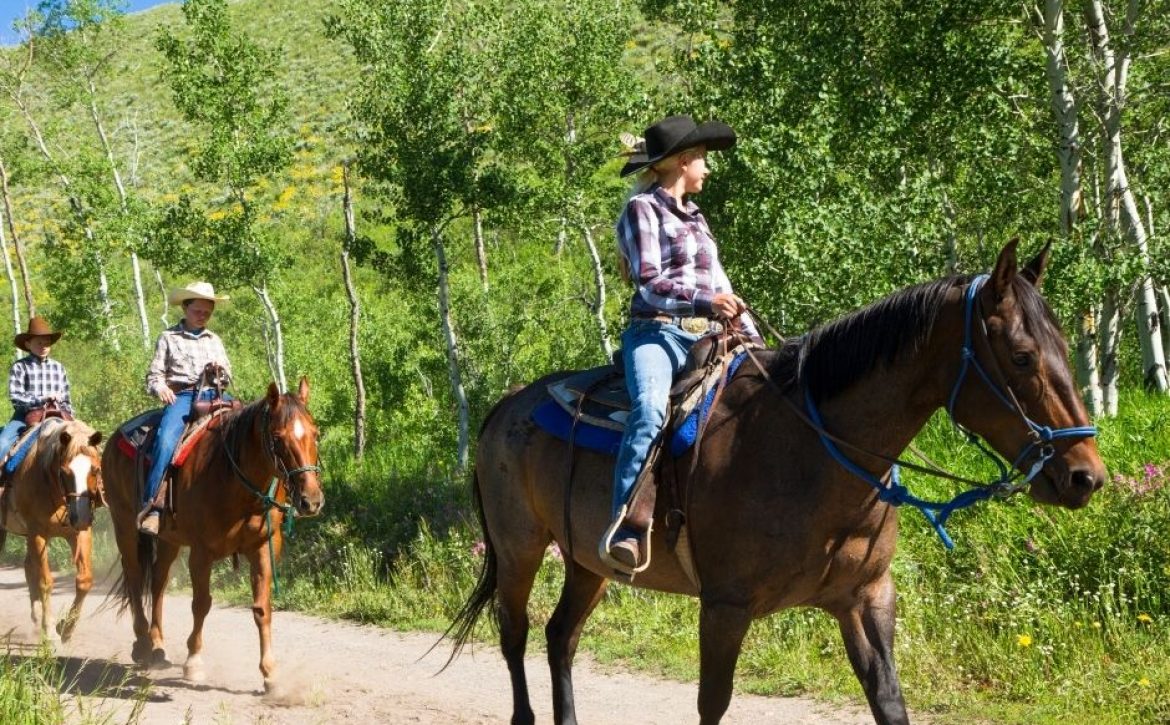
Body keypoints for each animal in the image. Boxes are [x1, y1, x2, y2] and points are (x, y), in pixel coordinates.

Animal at [0, 418, 104, 643]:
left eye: (95, 469)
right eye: (65, 472)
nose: (81, 516)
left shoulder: (79, 533)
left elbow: (84, 580)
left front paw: (66, 628)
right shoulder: (37, 533)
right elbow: (45, 581)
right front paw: (50, 630)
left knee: (28, 567)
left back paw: (36, 617)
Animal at [101, 378, 323, 691]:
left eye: (316, 434)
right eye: (278, 438)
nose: (311, 500)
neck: (235, 480)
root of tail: (113, 440)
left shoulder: (263, 548)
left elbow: (262, 608)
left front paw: (269, 673)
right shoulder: (201, 552)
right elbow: (201, 604)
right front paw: (194, 662)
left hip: (168, 539)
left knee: (157, 582)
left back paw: (158, 646)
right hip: (124, 526)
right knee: (135, 578)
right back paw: (143, 644)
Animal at [449, 241, 1107, 724]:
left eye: (1064, 346)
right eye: (1021, 356)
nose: (1085, 477)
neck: (811, 452)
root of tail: (507, 404)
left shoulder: (866, 598)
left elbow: (889, 702)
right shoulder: (724, 607)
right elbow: (711, 705)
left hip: (589, 560)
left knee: (560, 637)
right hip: (519, 548)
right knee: (515, 633)